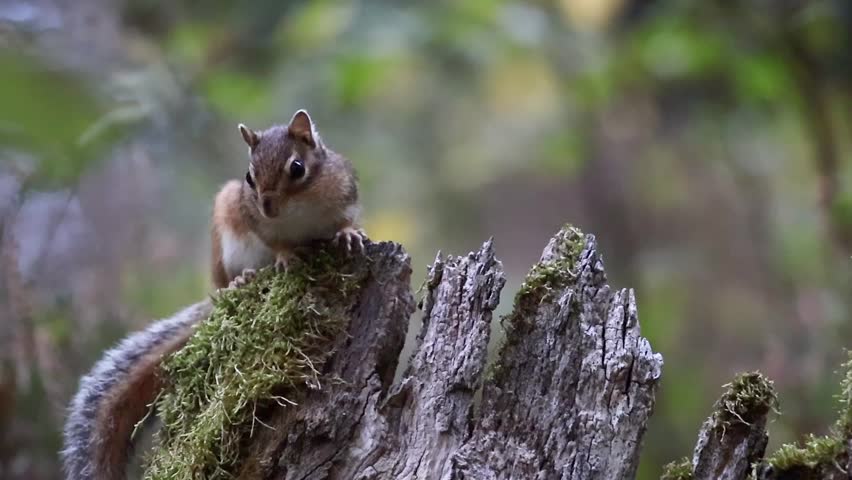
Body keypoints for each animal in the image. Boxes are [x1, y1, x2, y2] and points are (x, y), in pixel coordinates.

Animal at [61, 109, 365, 479]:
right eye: (249, 177)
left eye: (297, 168)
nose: (267, 206)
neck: (299, 209)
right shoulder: (254, 218)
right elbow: (275, 242)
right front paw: (285, 256)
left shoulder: (345, 192)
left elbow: (346, 220)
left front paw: (349, 234)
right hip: (225, 226)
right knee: (228, 278)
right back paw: (241, 280)